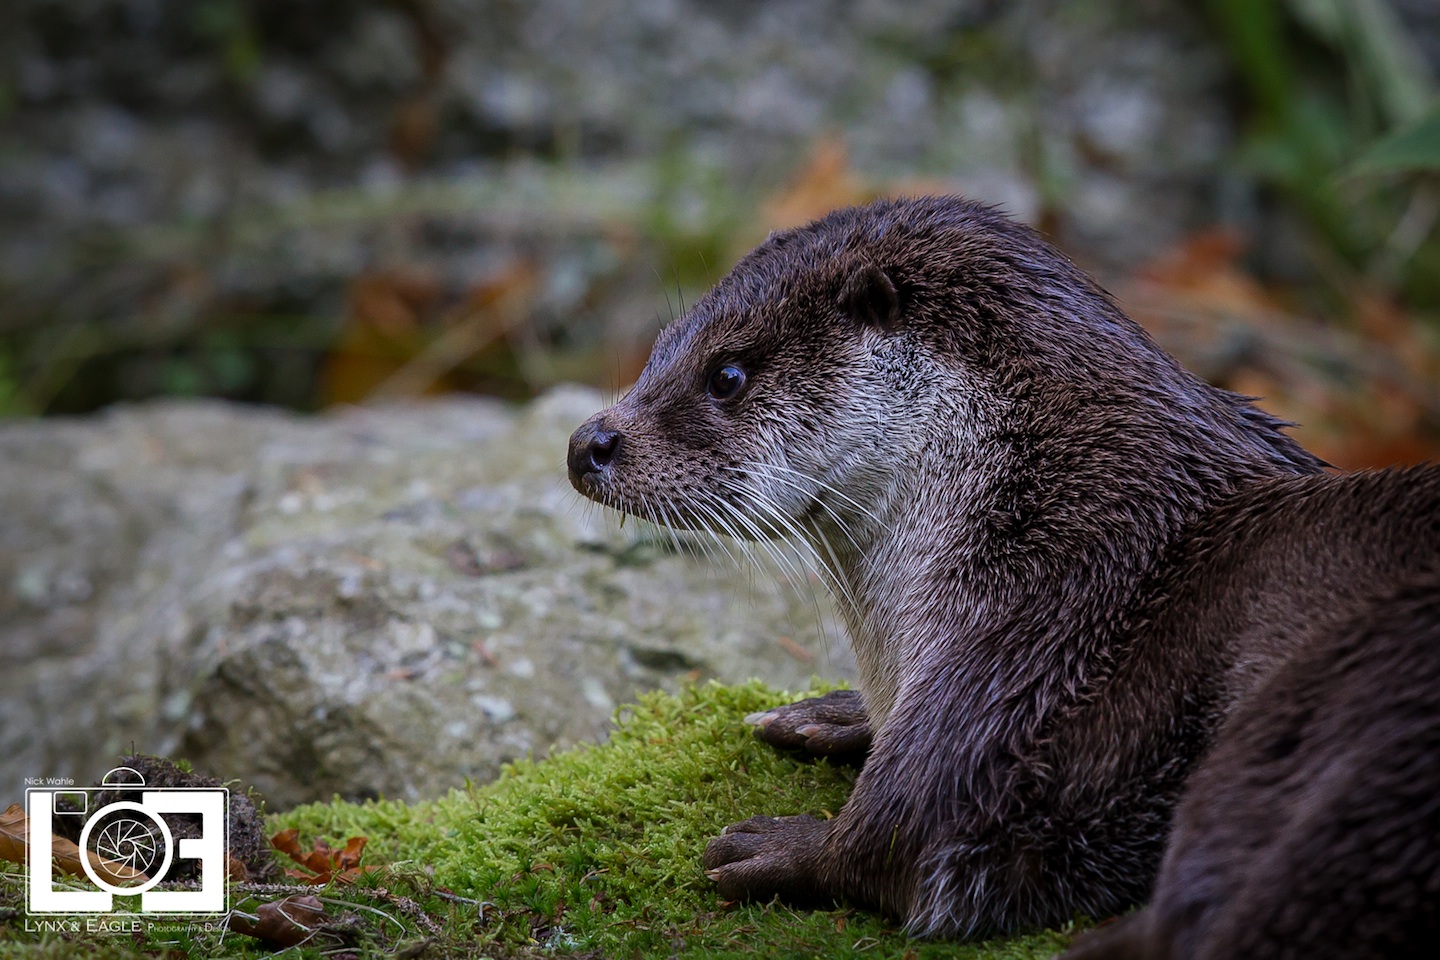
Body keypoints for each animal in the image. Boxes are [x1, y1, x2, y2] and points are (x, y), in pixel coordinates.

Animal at [566, 196, 1440, 954]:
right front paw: (832, 713)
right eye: (660, 347)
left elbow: (908, 837)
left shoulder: (1043, 638)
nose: (587, 444)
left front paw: (780, 848)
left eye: (728, 374)